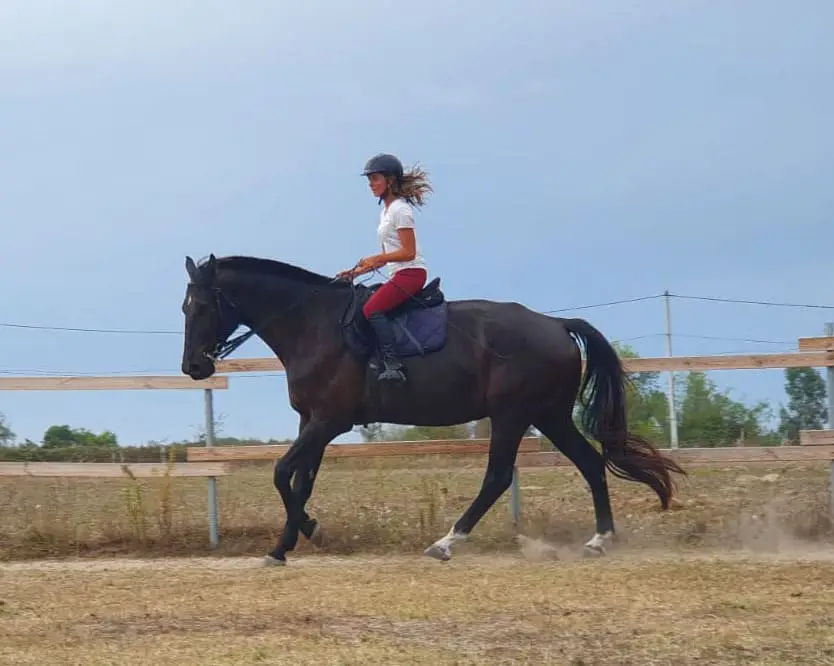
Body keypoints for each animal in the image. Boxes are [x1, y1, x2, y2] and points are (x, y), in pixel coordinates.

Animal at [180, 253, 686, 565]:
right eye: (185, 307)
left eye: (201, 305)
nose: (193, 367)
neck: (312, 326)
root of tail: (556, 324)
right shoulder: (312, 422)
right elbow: (301, 482)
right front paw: (289, 543)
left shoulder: (327, 421)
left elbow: (282, 473)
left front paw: (306, 534)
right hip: (550, 416)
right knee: (591, 464)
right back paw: (599, 540)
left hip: (512, 415)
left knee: (498, 477)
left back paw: (446, 543)